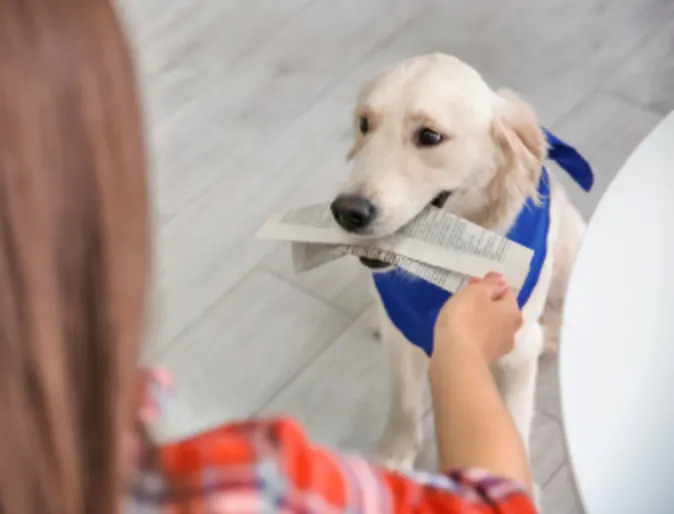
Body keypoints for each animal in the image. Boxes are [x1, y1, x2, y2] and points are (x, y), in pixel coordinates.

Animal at [330, 53, 588, 488]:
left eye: (430, 136)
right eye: (364, 123)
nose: (347, 212)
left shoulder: (518, 351)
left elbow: (513, 421)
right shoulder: (403, 338)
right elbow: (403, 403)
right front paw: (392, 456)